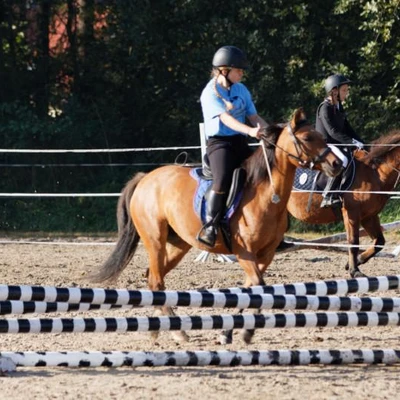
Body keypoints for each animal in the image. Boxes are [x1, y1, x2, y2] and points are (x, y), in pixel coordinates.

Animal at [90, 108, 340, 342]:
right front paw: (247, 332)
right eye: (308, 138)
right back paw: (178, 332)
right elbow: (259, 286)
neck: (265, 195)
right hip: (155, 240)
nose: (336, 163)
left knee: (152, 278)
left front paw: (229, 332)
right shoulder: (244, 252)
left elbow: (250, 289)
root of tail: (145, 178)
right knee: (156, 280)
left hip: (178, 245)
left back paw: (159, 328)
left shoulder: (265, 254)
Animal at [288, 130, 400, 278]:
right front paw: (355, 271)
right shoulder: (351, 212)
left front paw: (356, 261)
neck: (375, 173)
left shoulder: (369, 216)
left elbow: (379, 242)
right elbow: (353, 241)